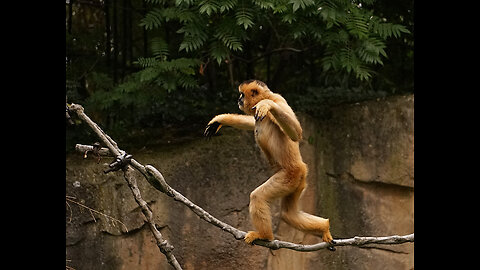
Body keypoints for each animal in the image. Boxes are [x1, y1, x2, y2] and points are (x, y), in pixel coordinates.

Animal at [204, 78, 336, 247]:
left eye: (242, 94)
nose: (239, 99)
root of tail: (301, 168)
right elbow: (252, 122)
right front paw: (220, 120)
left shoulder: (278, 100)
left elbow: (296, 132)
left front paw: (267, 105)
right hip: (298, 182)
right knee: (288, 214)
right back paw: (324, 227)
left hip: (288, 177)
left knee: (258, 198)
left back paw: (265, 236)